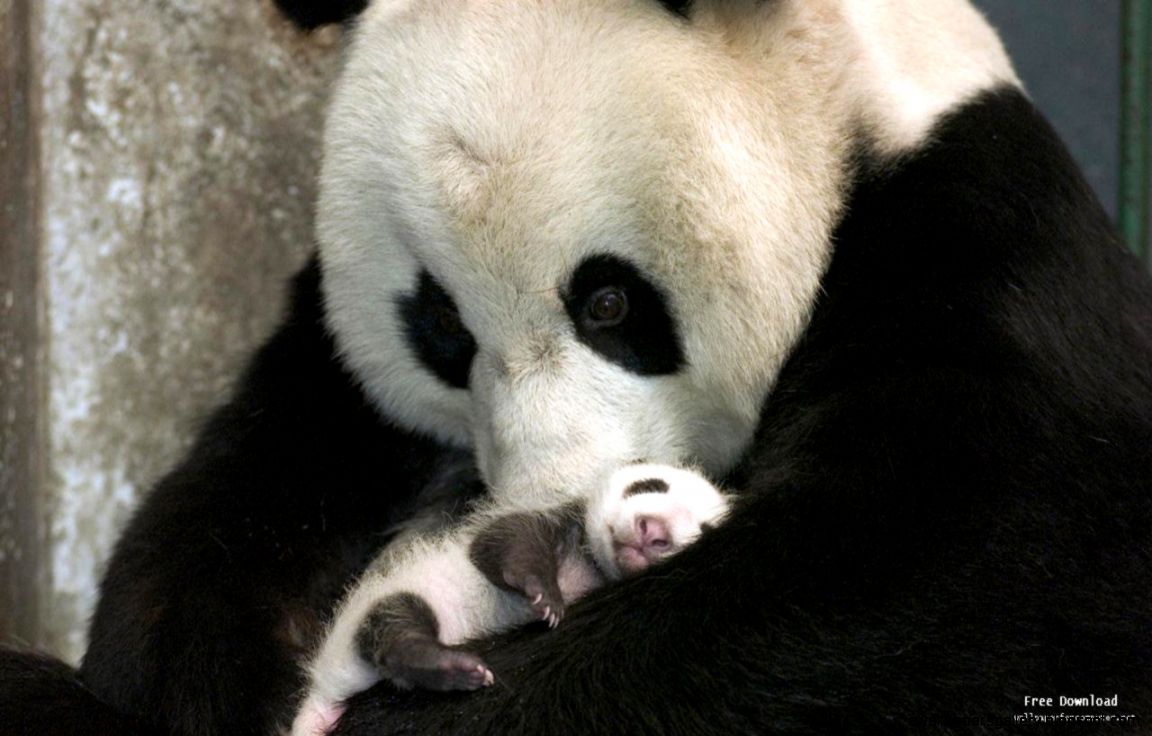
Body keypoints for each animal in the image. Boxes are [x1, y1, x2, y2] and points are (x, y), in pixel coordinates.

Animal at [2, 0, 1150, 735]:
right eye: (441, 329)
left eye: (609, 302)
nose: (549, 502)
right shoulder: (331, 372)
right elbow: (219, 522)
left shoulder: (985, 273)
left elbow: (898, 599)